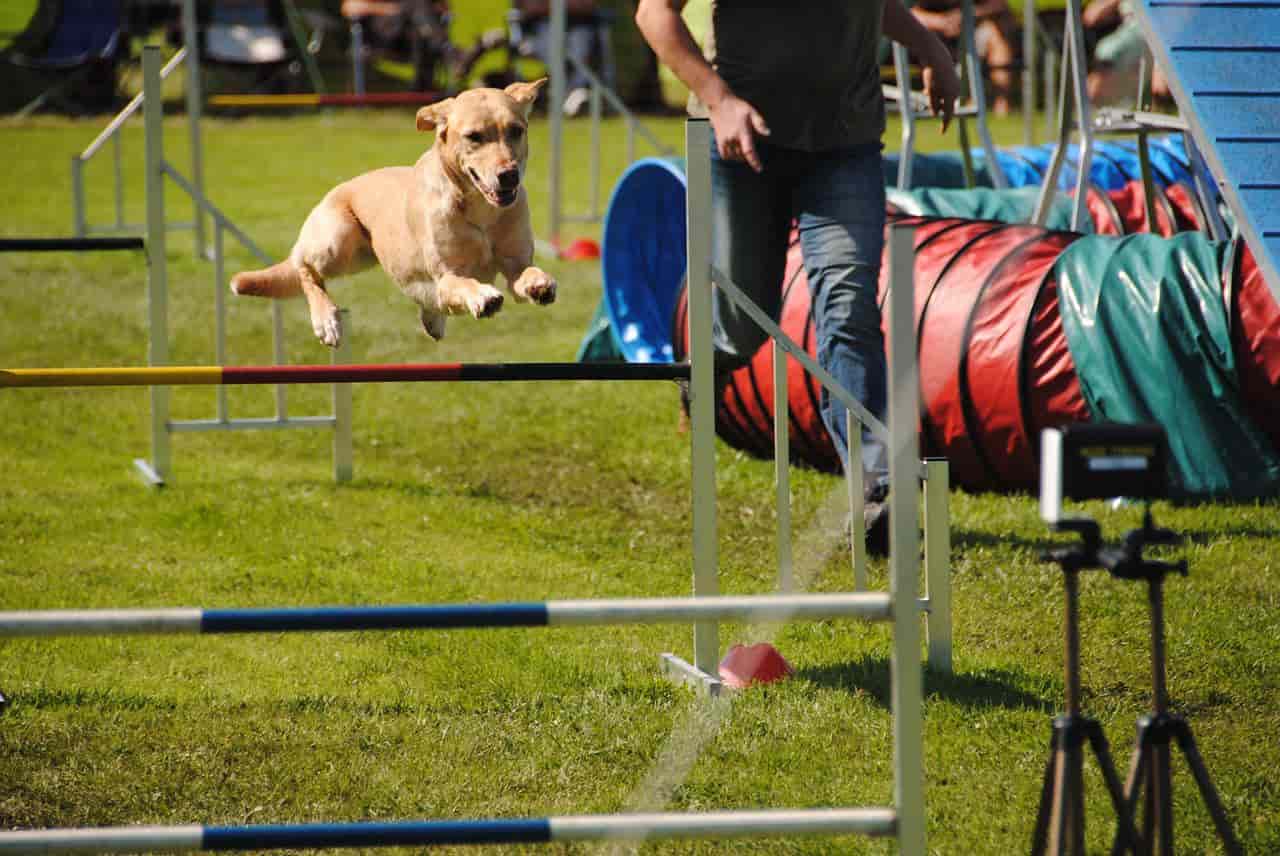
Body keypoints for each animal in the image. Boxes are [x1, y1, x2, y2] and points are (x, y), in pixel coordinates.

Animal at [230, 79, 555, 348]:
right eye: (474, 136)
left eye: (516, 130)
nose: (509, 175)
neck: (480, 210)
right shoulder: (446, 276)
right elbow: (465, 284)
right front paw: (483, 296)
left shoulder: (515, 264)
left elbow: (526, 273)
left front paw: (540, 284)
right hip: (337, 243)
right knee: (304, 268)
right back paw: (326, 320)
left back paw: (432, 320)